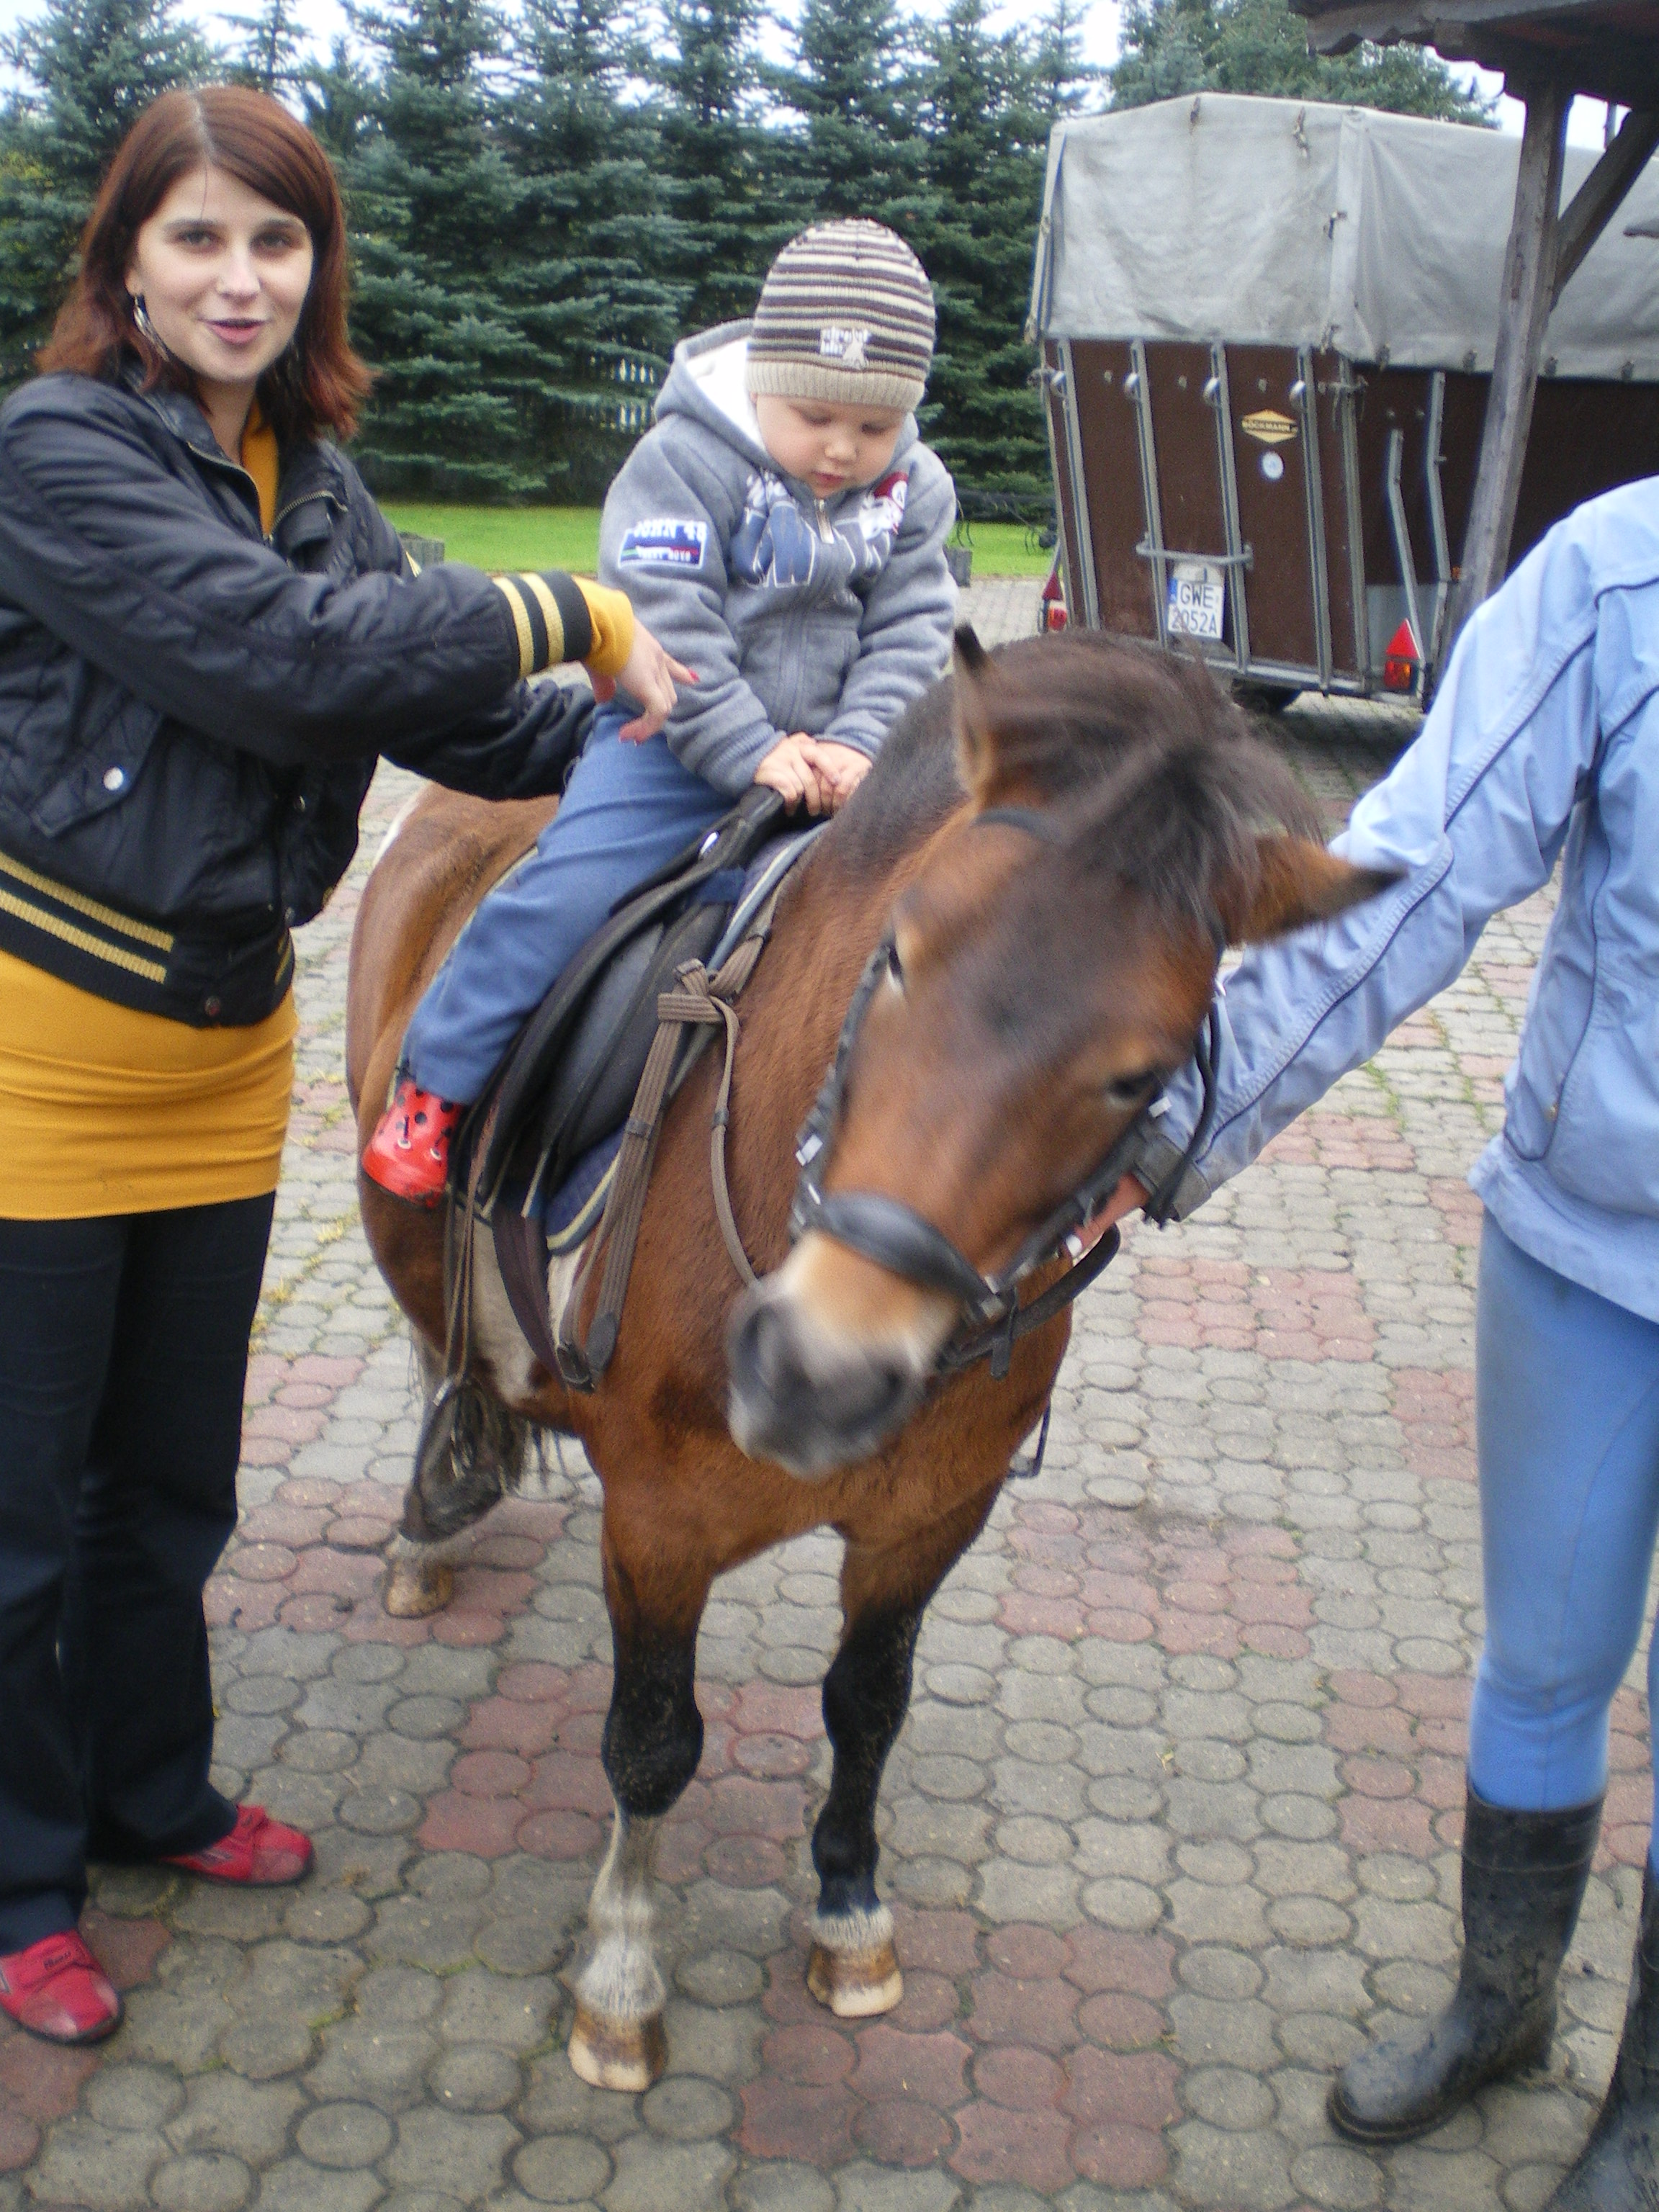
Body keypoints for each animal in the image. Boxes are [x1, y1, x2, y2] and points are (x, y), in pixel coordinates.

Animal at [347, 628, 1389, 2087]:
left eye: (1138, 1076)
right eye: (895, 954)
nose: (815, 1372)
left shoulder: (927, 1519)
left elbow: (866, 1706)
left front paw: (847, 1907)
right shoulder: (655, 1524)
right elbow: (652, 1742)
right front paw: (621, 1974)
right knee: (432, 1321)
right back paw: (431, 1508)